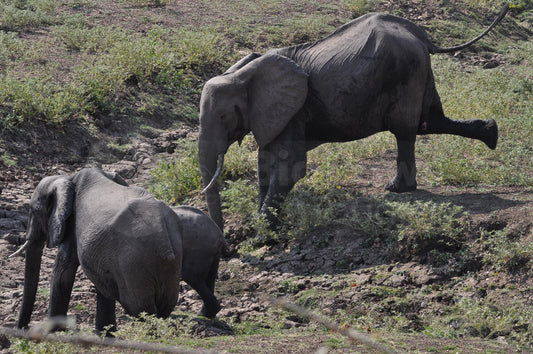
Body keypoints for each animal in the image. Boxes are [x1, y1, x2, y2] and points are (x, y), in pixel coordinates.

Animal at [12, 167, 183, 334]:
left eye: (33, 211)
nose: (23, 329)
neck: (68, 177)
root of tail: (163, 240)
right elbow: (102, 283)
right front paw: (105, 334)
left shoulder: (73, 223)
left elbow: (62, 272)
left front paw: (53, 334)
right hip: (170, 264)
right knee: (163, 307)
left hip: (133, 263)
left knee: (139, 307)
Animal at [197, 7, 504, 232]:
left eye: (223, 116)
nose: (224, 245)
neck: (243, 73)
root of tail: (421, 36)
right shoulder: (274, 114)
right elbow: (265, 162)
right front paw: (263, 220)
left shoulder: (293, 110)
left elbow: (289, 167)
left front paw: (262, 228)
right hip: (418, 71)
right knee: (430, 121)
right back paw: (491, 132)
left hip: (407, 71)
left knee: (406, 130)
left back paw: (397, 189)